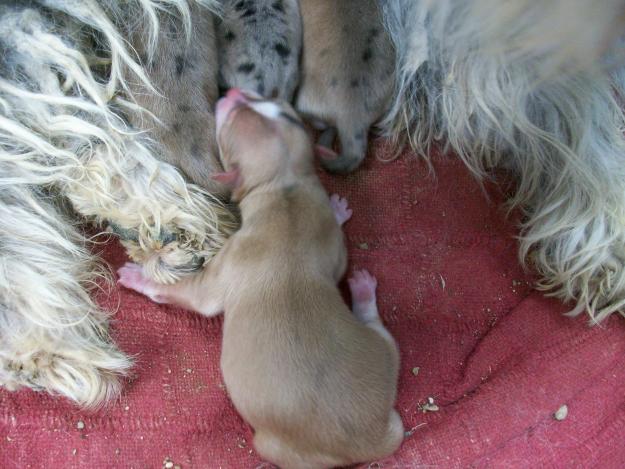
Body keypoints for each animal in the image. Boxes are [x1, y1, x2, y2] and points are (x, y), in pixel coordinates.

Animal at [118, 88, 400, 468]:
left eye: (226, 128)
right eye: (282, 111)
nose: (235, 92)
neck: (282, 187)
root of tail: (373, 441)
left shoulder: (229, 261)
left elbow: (194, 296)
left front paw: (140, 278)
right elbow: (337, 255)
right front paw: (338, 210)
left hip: (277, 445)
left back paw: (363, 292)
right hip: (383, 356)